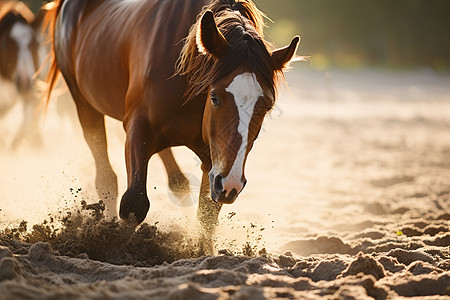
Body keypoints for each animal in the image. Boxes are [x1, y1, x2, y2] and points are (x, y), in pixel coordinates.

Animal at [44, 0, 298, 230]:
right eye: (214, 97)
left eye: (267, 106)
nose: (232, 183)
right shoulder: (138, 128)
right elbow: (134, 202)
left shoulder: (213, 160)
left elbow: (207, 215)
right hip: (84, 103)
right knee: (105, 176)